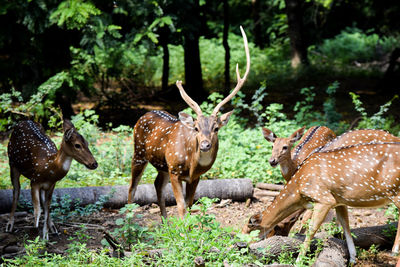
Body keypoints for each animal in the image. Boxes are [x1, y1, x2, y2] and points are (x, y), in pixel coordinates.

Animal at [128, 26, 250, 220]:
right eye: (196, 128)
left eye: (216, 128)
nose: (206, 145)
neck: (191, 164)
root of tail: (145, 114)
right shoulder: (174, 170)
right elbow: (181, 206)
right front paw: (183, 227)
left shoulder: (195, 177)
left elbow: (191, 204)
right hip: (139, 152)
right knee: (132, 186)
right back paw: (128, 220)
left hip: (162, 165)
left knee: (156, 184)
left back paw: (164, 222)